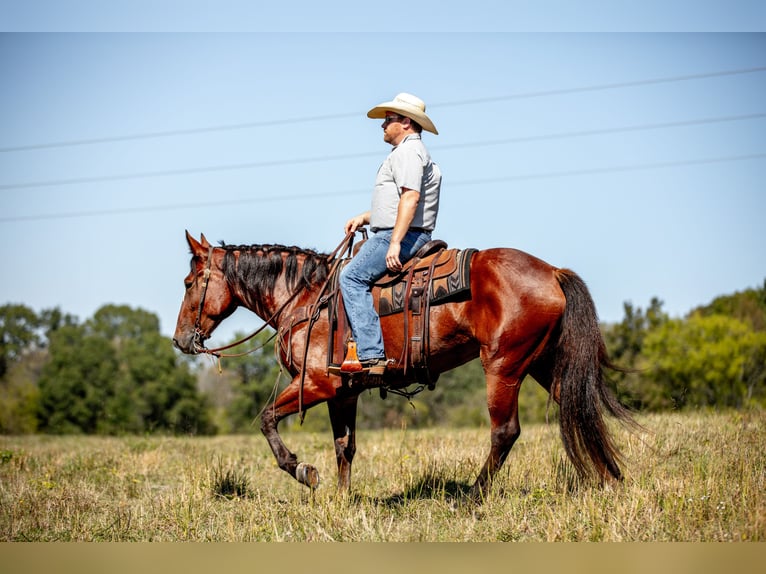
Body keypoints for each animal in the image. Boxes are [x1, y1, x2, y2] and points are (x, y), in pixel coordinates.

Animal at [173, 231, 636, 500]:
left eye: (190, 282)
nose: (180, 340)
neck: (305, 300)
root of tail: (553, 272)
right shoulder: (343, 392)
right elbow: (345, 446)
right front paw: (342, 501)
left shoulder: (317, 384)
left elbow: (266, 419)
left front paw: (304, 471)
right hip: (544, 364)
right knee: (580, 409)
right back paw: (611, 479)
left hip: (502, 366)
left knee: (505, 432)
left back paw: (472, 495)